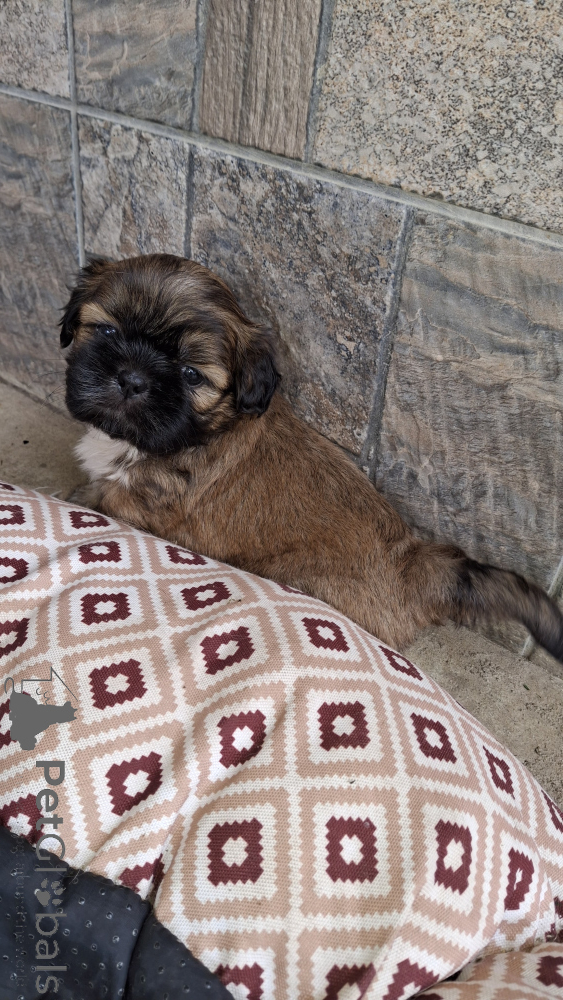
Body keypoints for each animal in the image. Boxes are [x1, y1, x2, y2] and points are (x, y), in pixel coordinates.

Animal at [60, 253, 563, 661]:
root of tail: (413, 565)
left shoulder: (140, 502)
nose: (132, 378)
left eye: (190, 375)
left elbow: (97, 497)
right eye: (107, 330)